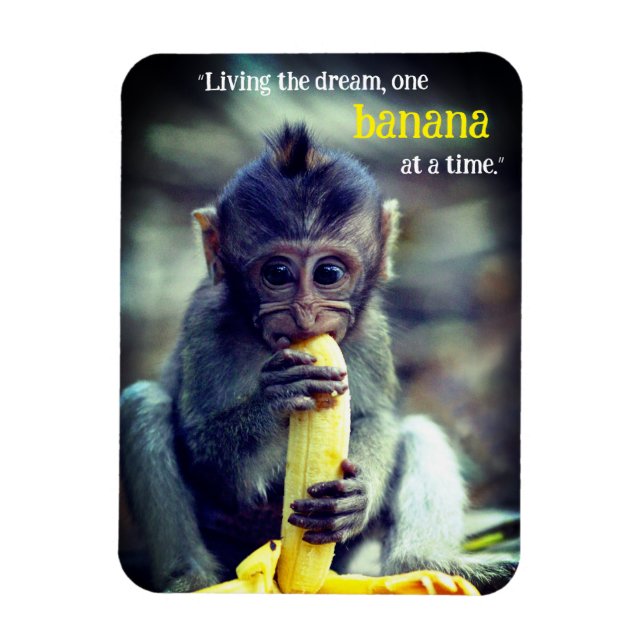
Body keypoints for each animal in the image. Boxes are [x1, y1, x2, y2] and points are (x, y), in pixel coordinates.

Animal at [120, 124, 517, 594]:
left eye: (328, 273)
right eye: (277, 273)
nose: (305, 315)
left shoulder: (370, 332)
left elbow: (375, 418)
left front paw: (357, 496)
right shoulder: (206, 324)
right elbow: (206, 452)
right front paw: (274, 399)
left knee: (418, 431)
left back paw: (426, 564)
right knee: (144, 403)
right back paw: (189, 577)